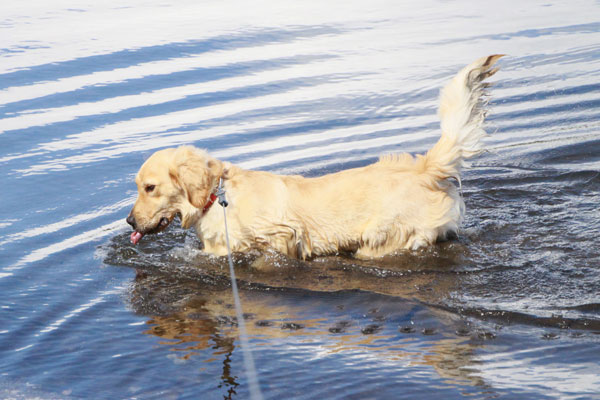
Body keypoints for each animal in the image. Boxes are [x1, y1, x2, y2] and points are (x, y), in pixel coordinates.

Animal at [126, 55, 502, 260]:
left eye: (149, 188)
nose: (129, 222)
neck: (217, 198)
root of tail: (426, 168)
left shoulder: (281, 238)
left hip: (382, 240)